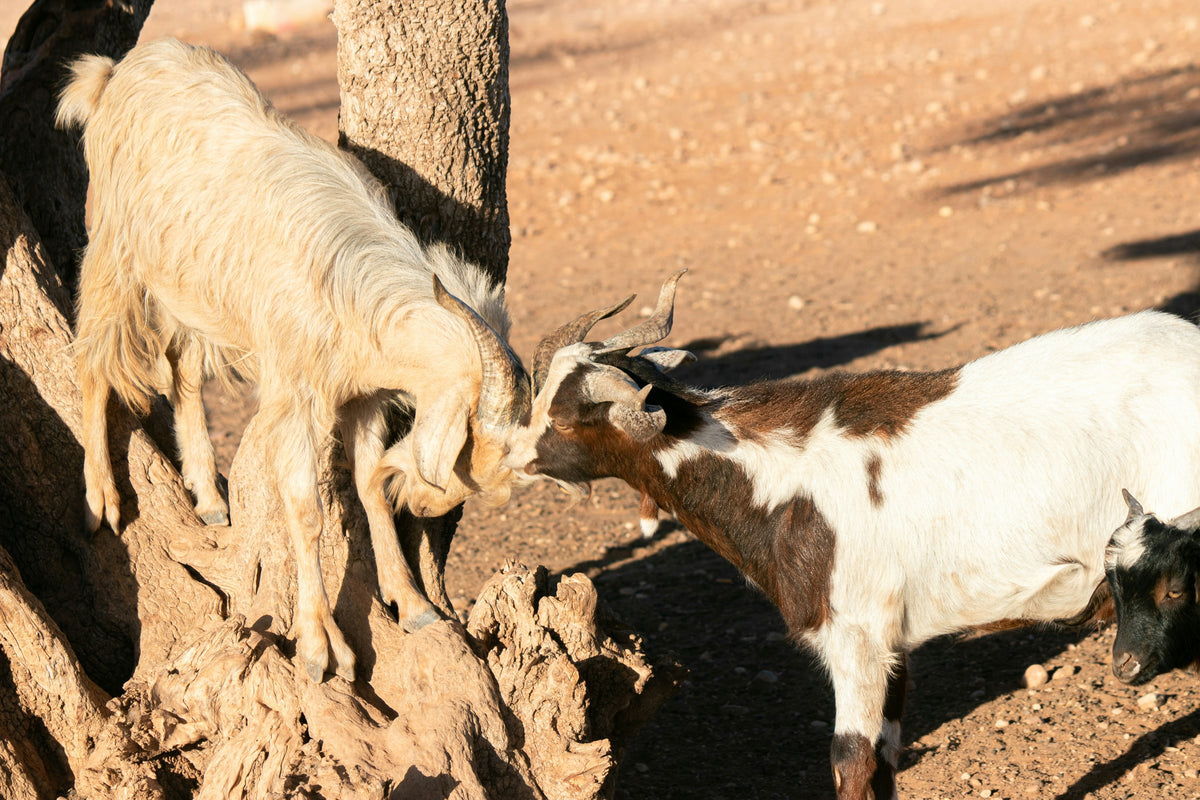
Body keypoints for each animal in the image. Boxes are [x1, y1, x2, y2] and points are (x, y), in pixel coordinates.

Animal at [56, 38, 530, 682]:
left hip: (190, 288)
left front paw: (412, 605)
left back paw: (210, 500)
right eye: (467, 444)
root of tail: (116, 70)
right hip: (115, 246)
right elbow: (306, 510)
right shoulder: (295, 392)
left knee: (182, 370)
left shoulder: (363, 395)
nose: (425, 504)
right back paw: (100, 498)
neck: (352, 281)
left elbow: (367, 485)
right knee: (92, 358)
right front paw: (318, 647)